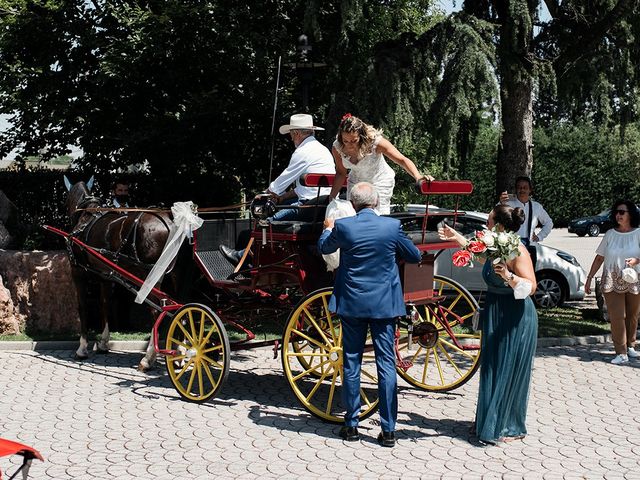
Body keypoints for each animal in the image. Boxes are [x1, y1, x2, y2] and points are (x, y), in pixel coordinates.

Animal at [62, 178, 184, 370]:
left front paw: (82, 349)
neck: (85, 217)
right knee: (179, 309)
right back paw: (180, 353)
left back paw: (148, 358)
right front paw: (103, 343)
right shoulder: (105, 277)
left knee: (156, 312)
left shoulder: (78, 273)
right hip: (174, 276)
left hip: (150, 278)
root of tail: (169, 221)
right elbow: (104, 305)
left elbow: (82, 307)